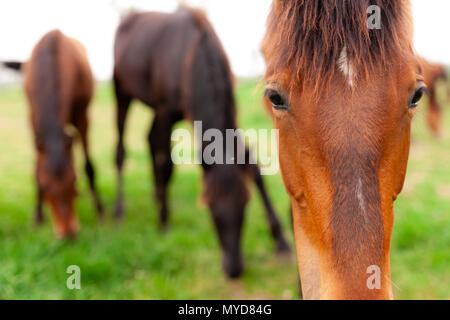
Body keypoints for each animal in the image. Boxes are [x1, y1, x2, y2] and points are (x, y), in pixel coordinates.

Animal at [2, 30, 103, 238]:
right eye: (45, 185)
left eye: (74, 180)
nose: (68, 233)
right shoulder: (33, 118)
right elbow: (36, 167)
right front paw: (38, 217)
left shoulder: (83, 117)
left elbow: (88, 166)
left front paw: (99, 210)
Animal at [111, 6, 288, 278]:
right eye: (210, 208)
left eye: (245, 204)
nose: (234, 269)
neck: (191, 54)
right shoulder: (165, 112)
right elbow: (166, 164)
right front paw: (164, 221)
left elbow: (253, 167)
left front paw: (280, 239)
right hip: (122, 93)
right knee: (123, 148)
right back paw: (121, 210)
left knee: (149, 140)